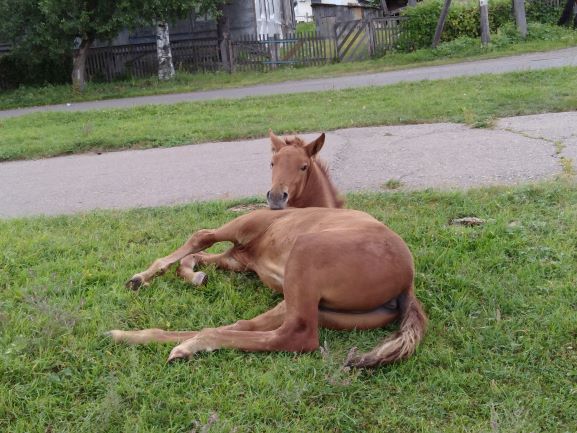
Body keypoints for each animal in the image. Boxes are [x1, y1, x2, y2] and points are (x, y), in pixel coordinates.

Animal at [108, 130, 426, 366]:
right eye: (272, 163)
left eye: (303, 166)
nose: (275, 198)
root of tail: (406, 283)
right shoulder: (237, 259)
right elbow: (195, 258)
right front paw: (195, 277)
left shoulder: (240, 227)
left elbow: (200, 237)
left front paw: (140, 277)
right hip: (318, 306)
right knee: (244, 325)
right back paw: (128, 336)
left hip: (304, 257)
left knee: (294, 336)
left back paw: (186, 344)